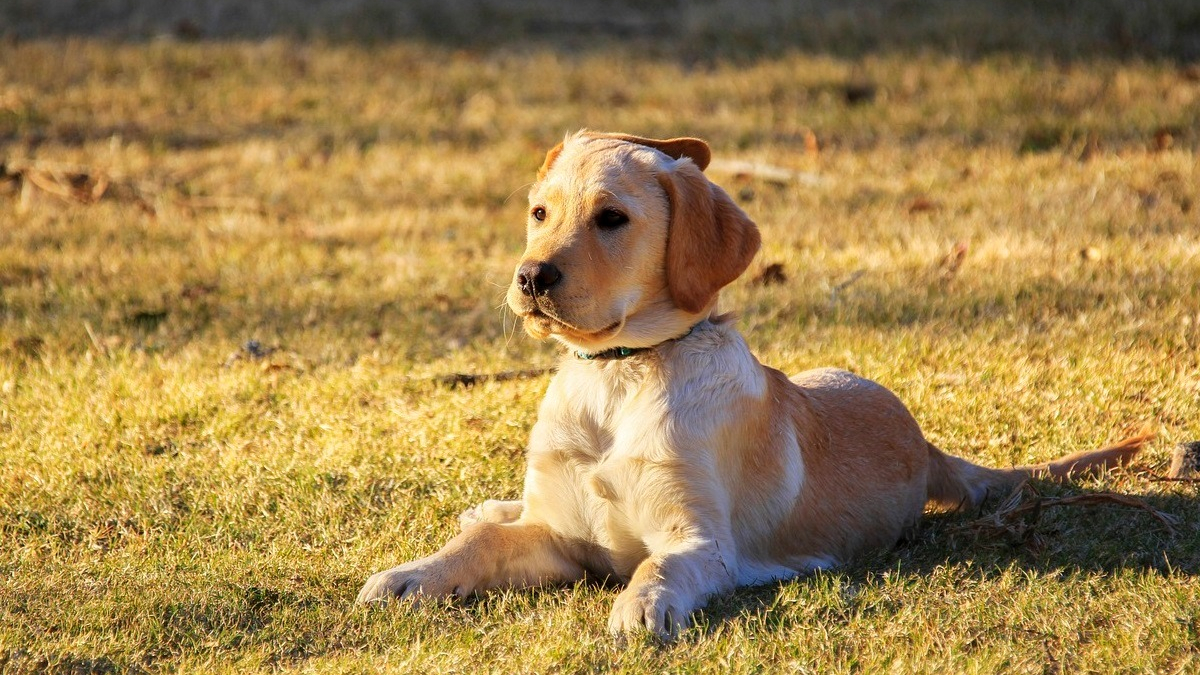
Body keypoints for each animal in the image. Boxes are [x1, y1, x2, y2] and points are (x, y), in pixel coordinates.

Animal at [352, 131, 1142, 634]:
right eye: (538, 212)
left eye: (612, 218)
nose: (530, 277)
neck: (621, 374)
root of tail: (925, 444)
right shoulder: (557, 534)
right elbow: (483, 546)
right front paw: (412, 575)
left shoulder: (701, 542)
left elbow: (657, 567)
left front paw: (641, 606)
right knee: (496, 516)